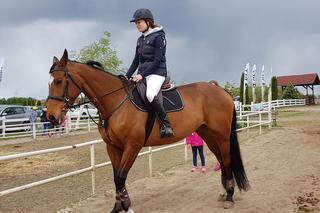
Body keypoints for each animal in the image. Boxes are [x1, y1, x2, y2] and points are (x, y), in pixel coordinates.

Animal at [45, 49, 250, 211]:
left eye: (59, 81)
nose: (51, 116)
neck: (116, 102)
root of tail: (221, 90)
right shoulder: (113, 147)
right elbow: (116, 177)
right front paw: (118, 207)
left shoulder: (132, 146)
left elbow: (121, 177)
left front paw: (126, 207)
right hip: (208, 134)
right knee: (221, 160)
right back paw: (224, 192)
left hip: (222, 136)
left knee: (227, 159)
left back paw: (230, 196)